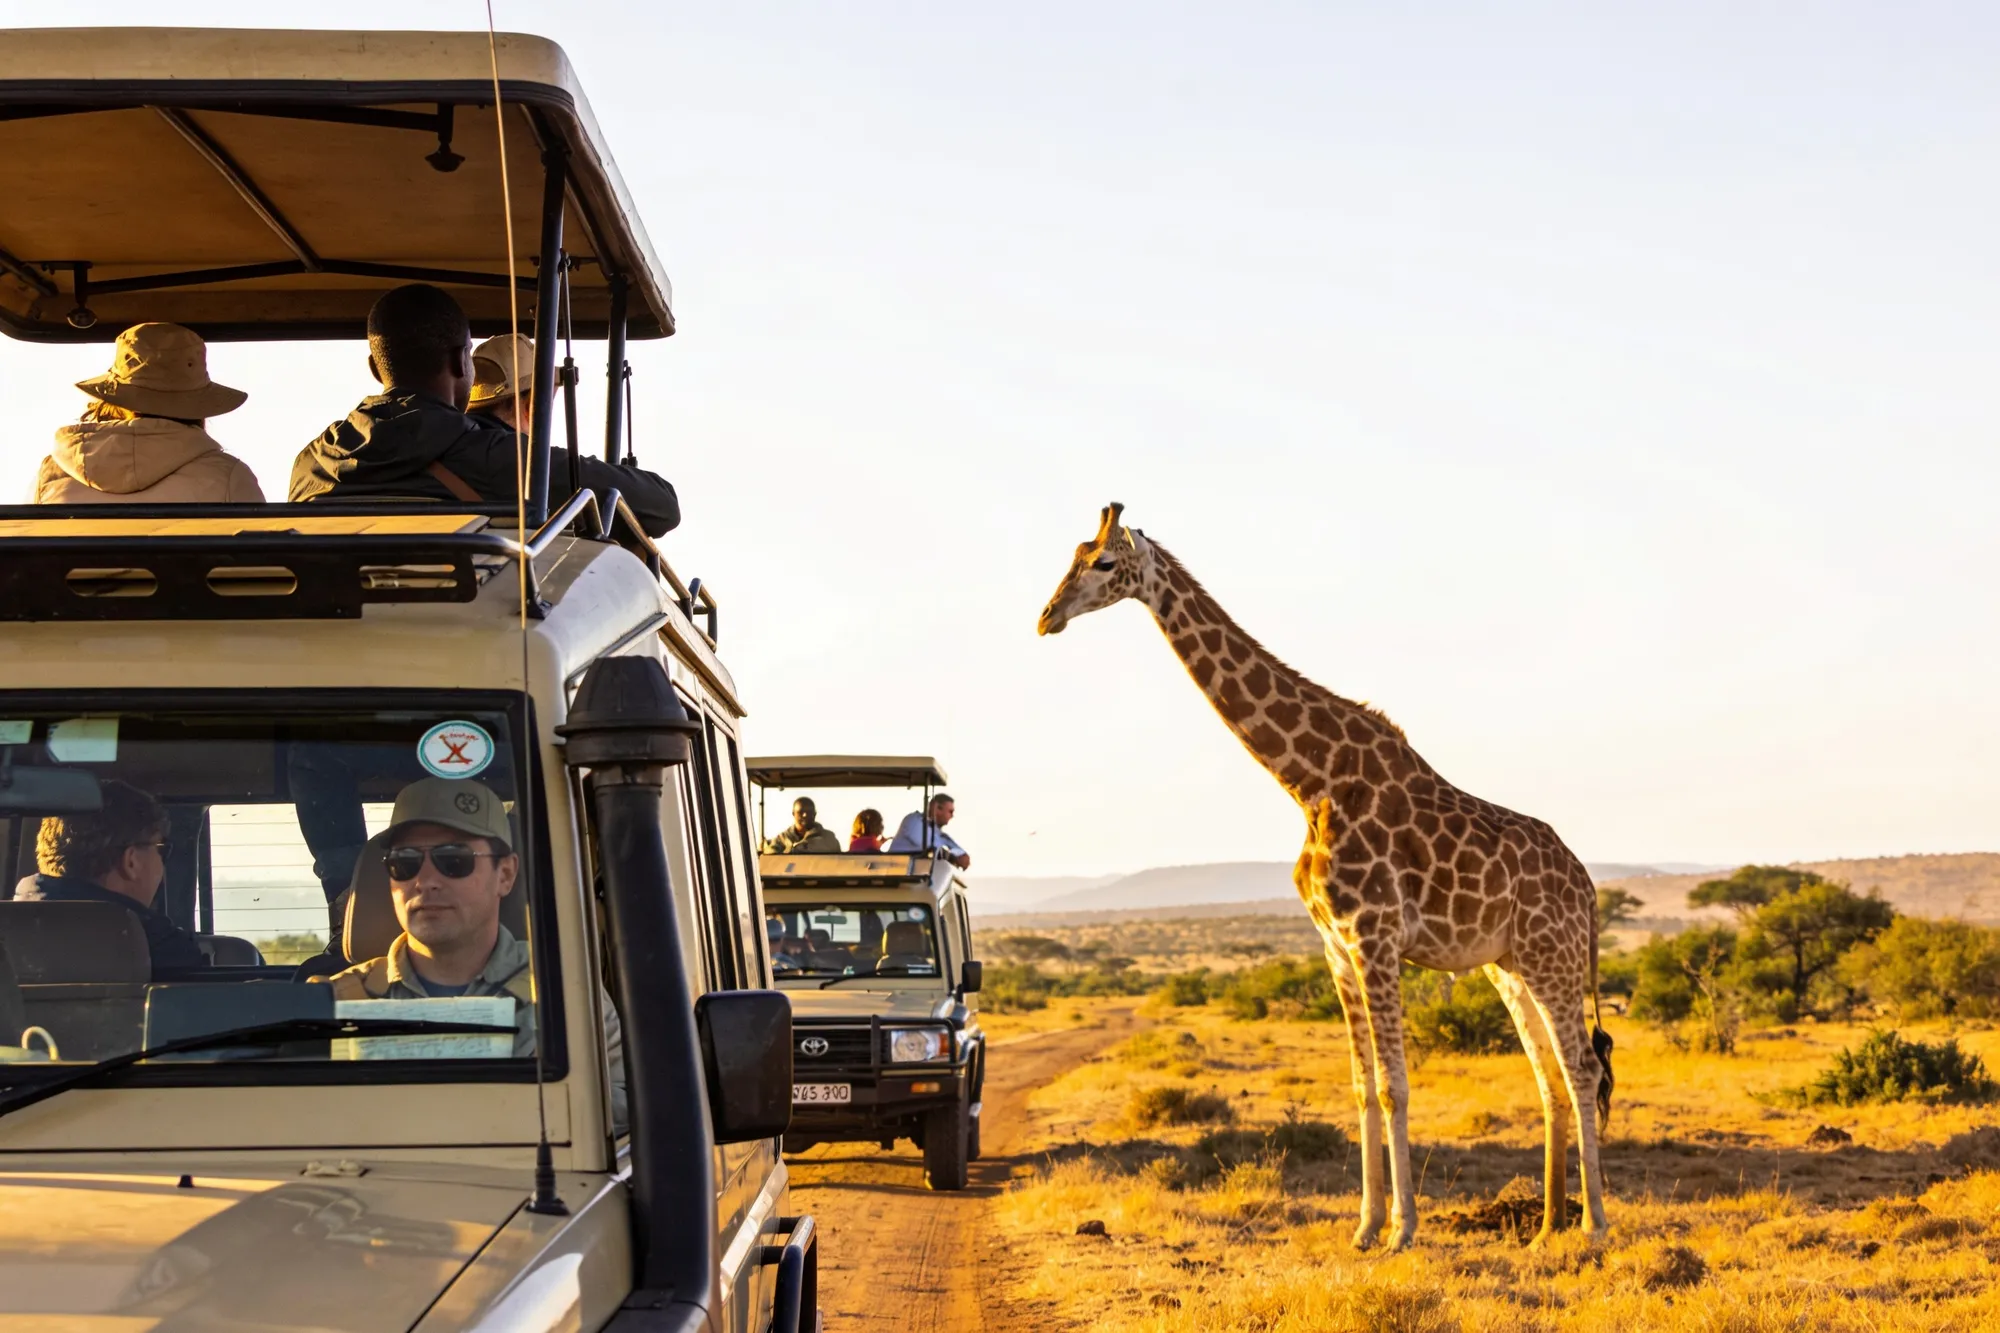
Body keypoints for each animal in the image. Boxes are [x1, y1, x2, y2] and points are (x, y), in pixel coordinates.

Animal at [1036, 503, 1613, 1251]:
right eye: (1072, 556)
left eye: (1103, 562)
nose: (1047, 616)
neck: (1309, 782)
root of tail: (1590, 889)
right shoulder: (1336, 946)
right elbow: (1362, 1086)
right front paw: (1365, 1227)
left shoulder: (1375, 937)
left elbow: (1396, 1084)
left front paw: (1403, 1230)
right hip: (1509, 965)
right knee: (1549, 1077)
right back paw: (1546, 1228)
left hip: (1553, 956)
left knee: (1582, 1069)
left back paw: (1594, 1224)